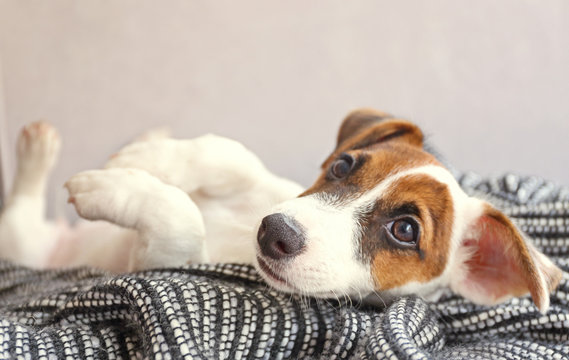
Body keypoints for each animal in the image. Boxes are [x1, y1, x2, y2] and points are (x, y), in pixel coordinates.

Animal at [0, 109, 560, 312]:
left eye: (404, 230)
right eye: (343, 165)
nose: (273, 231)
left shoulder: (158, 258)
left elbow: (182, 222)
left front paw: (113, 185)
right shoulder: (263, 183)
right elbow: (224, 151)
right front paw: (148, 158)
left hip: (23, 244)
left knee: (18, 212)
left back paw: (37, 149)